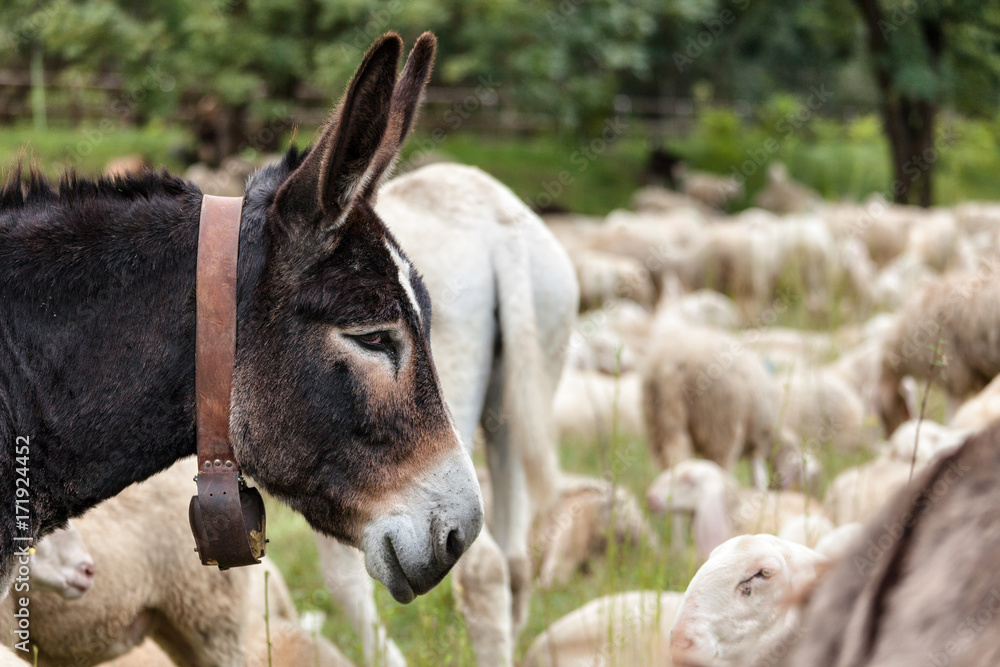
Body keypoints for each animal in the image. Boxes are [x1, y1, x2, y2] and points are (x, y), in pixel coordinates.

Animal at [641, 324, 792, 489]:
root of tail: (668, 367)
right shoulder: (757, 435)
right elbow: (758, 472)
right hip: (718, 421)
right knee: (711, 459)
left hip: (660, 414)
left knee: (669, 452)